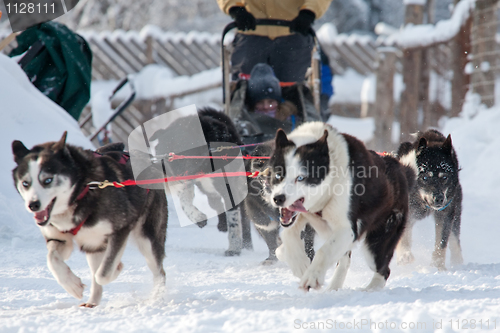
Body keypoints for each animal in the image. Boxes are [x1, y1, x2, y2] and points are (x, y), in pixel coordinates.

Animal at [11, 133, 168, 306]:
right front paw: (72, 285)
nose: (33, 205)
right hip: (92, 244)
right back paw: (92, 302)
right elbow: (52, 259)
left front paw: (117, 268)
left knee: (159, 272)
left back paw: (156, 298)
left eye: (47, 180)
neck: (81, 191)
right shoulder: (59, 239)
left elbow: (103, 274)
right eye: (25, 183)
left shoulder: (121, 229)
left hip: (146, 239)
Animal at [268, 122, 416, 290]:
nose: (278, 198)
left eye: (300, 178)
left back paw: (370, 289)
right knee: (345, 260)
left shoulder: (347, 229)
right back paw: (333, 288)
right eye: (278, 175)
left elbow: (323, 251)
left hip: (376, 244)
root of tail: (402, 170)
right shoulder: (306, 215)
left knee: (383, 269)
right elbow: (286, 236)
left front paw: (312, 276)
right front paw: (298, 262)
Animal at [396, 130, 462, 270]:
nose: (439, 199)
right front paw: (404, 255)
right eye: (425, 177)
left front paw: (437, 266)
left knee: (454, 239)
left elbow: (442, 242)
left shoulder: (445, 214)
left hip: (455, 213)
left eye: (444, 177)